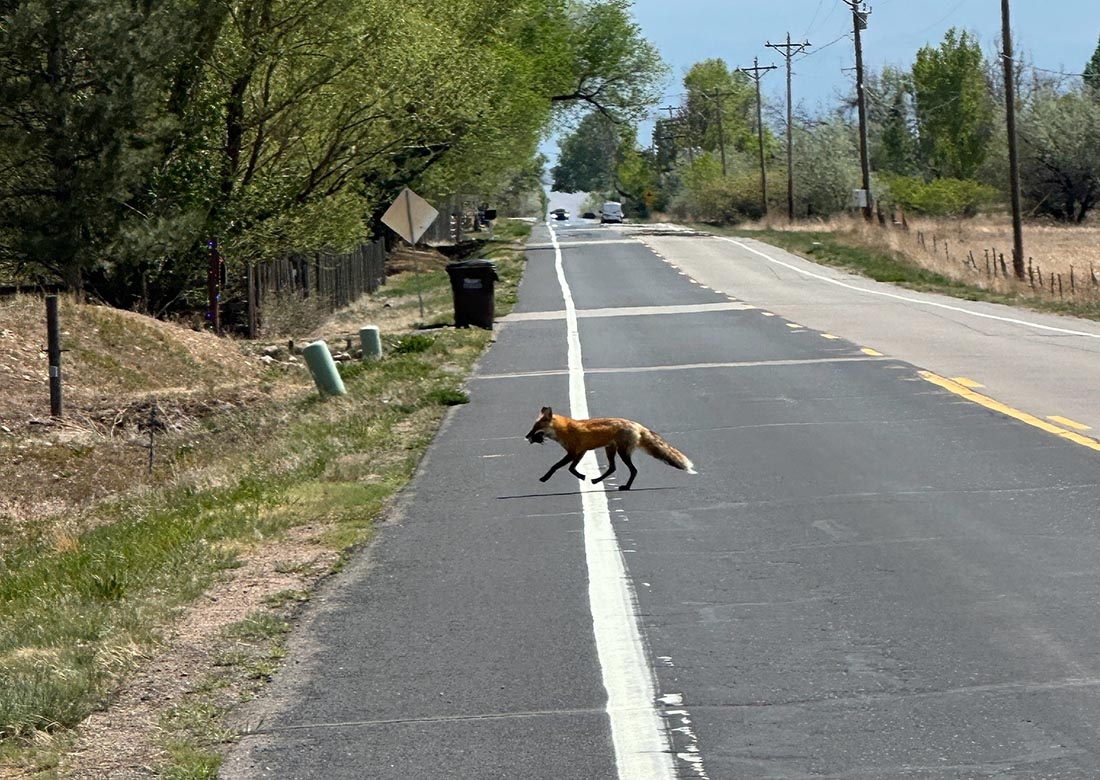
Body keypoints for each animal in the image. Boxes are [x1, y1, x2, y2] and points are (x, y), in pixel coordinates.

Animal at [525, 406, 697, 491]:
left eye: (536, 429)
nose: (527, 436)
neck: (565, 430)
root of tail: (637, 425)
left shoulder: (574, 452)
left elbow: (557, 467)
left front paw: (545, 478)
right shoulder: (580, 451)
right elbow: (571, 468)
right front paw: (582, 476)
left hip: (621, 452)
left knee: (633, 470)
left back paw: (626, 487)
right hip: (611, 450)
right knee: (612, 468)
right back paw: (596, 481)